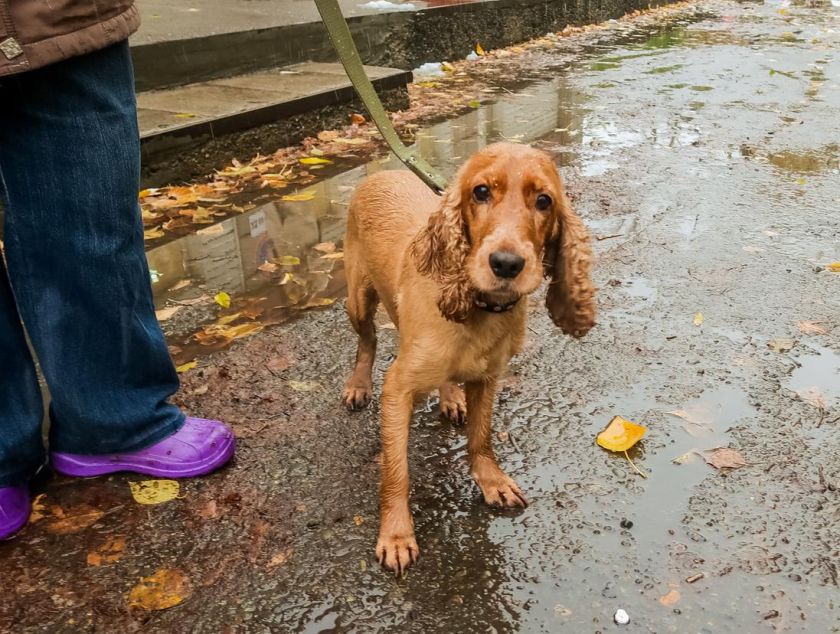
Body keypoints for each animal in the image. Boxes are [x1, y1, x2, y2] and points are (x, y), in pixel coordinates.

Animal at [338, 143, 592, 572]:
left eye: (544, 201)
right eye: (481, 192)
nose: (506, 264)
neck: (479, 310)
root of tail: (383, 171)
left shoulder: (488, 376)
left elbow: (481, 436)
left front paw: (492, 481)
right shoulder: (397, 389)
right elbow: (396, 471)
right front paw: (396, 535)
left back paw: (451, 396)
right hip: (357, 296)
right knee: (367, 341)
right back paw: (358, 384)